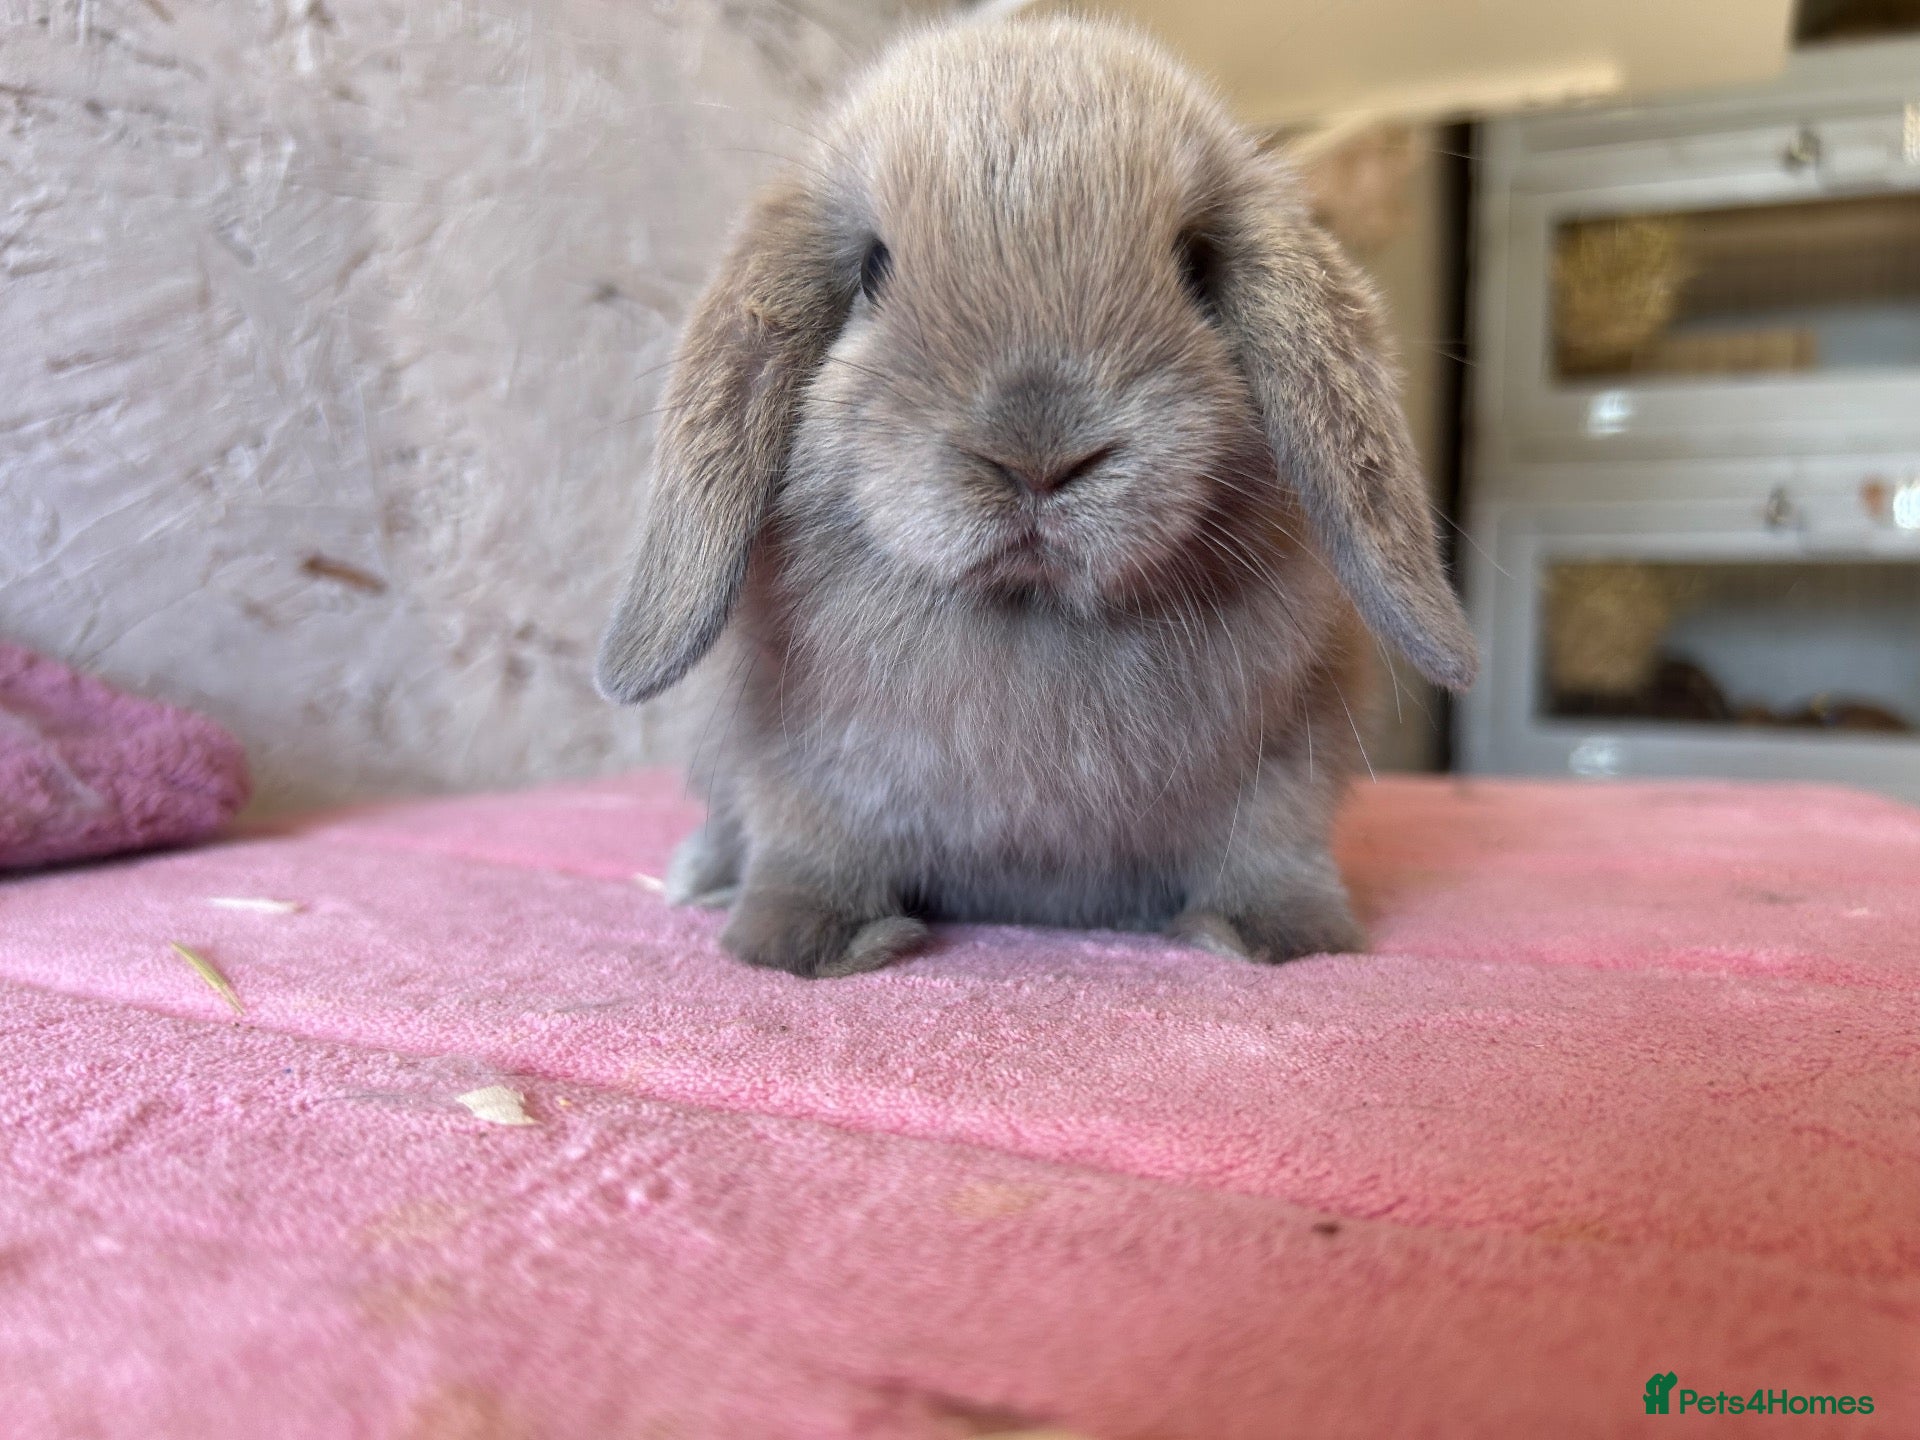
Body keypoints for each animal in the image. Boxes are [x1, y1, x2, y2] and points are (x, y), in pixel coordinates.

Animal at [595, 15, 1477, 978]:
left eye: (1194, 263)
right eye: (873, 268)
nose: (1037, 455)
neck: (1034, 611)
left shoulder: (1290, 764)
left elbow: (1273, 849)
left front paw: (1275, 938)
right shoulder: (796, 773)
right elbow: (809, 846)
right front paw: (811, 945)